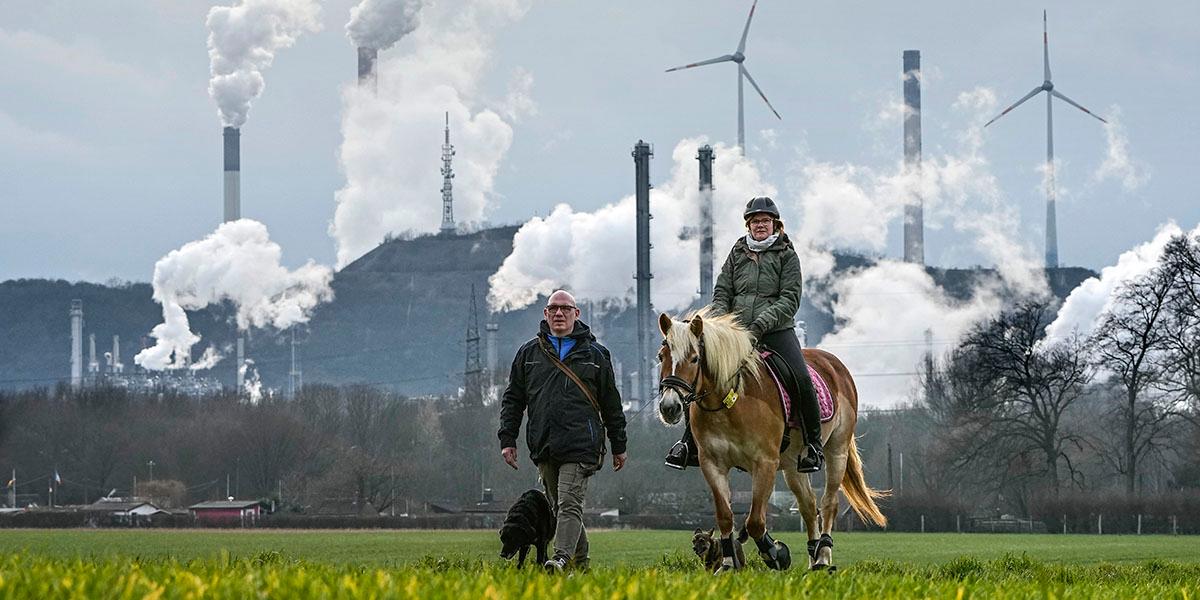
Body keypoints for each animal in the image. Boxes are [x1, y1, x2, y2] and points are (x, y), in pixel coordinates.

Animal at [652, 309, 888, 571]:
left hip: (837, 450)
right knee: (808, 506)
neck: (730, 402)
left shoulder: (764, 463)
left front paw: (776, 554)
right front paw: (728, 563)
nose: (669, 407)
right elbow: (725, 517)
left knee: (829, 503)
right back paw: (812, 557)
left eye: (694, 359)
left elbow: (755, 521)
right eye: (661, 357)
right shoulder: (712, 464)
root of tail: (834, 363)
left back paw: (823, 557)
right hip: (793, 465)